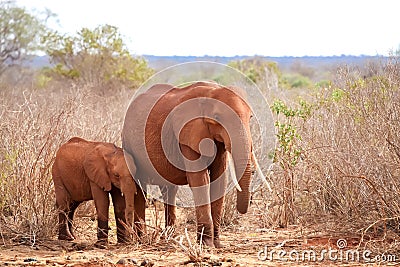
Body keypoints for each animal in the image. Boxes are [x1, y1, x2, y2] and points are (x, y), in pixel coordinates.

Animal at [122, 82, 262, 249]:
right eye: (217, 118)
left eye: (250, 117)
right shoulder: (187, 136)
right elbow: (200, 180)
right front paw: (207, 245)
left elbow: (219, 180)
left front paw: (217, 244)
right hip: (128, 143)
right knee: (140, 186)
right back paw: (142, 238)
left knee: (169, 190)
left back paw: (169, 237)